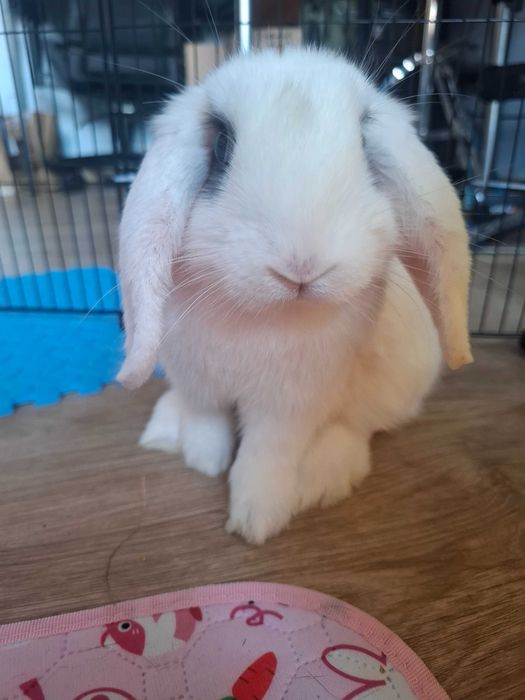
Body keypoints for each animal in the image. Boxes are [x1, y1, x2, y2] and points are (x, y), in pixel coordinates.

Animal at [117, 47, 472, 545]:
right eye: (221, 147)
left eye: (364, 144)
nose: (302, 268)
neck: (261, 316)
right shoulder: (196, 382)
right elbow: (206, 422)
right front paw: (205, 462)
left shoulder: (290, 405)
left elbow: (265, 457)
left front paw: (256, 521)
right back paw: (164, 430)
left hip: (396, 387)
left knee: (359, 428)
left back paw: (322, 477)